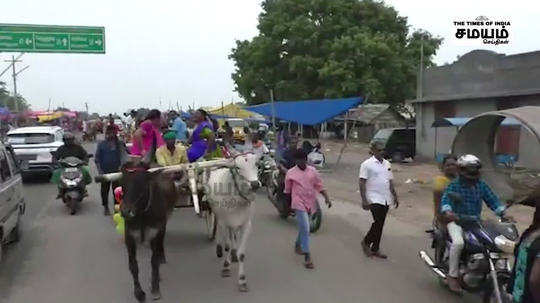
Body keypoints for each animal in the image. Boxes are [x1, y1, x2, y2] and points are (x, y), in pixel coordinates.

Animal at [204, 153, 260, 294]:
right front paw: (225, 267)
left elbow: (242, 254)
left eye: (256, 164)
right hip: (217, 215)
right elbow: (227, 244)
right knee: (221, 232)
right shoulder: (224, 222)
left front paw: (242, 280)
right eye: (238, 167)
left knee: (233, 236)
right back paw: (220, 249)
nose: (255, 184)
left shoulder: (246, 225)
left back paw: (233, 254)